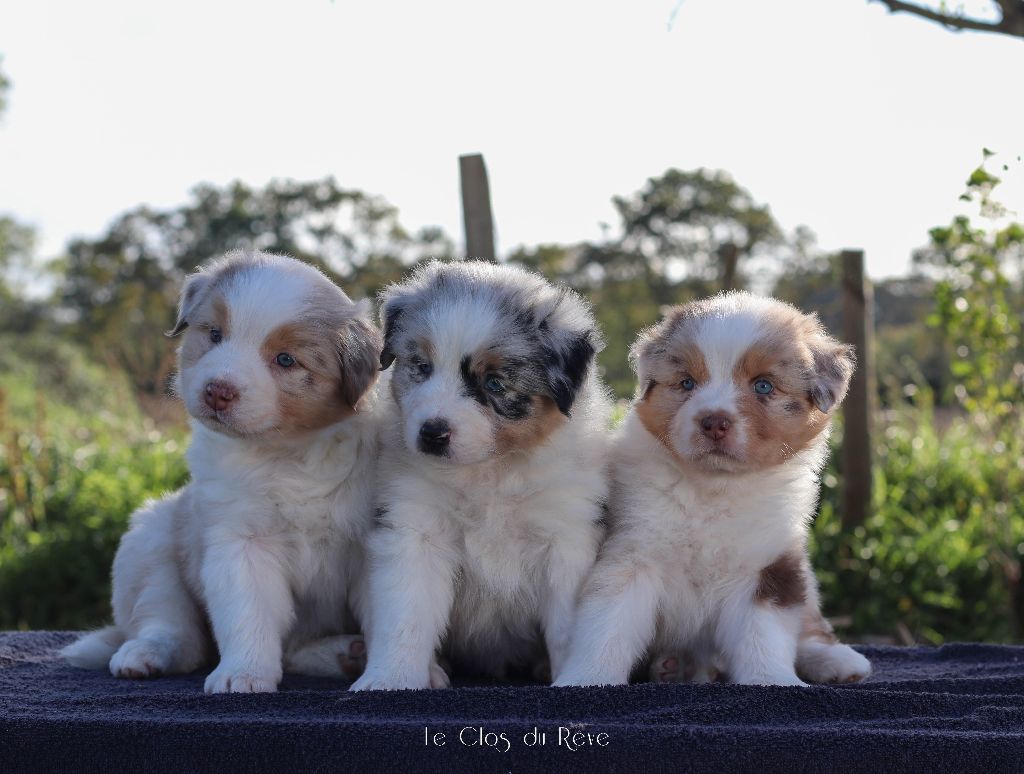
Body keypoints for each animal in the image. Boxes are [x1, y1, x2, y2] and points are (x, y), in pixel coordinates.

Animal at [348, 258, 610, 688]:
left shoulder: (566, 538)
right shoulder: (415, 530)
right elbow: (405, 618)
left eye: (494, 383)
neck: (489, 472)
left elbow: (566, 628)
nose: (432, 433)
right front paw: (389, 680)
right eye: (421, 367)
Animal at [552, 292, 872, 688]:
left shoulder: (768, 566)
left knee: (809, 625)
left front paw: (773, 680)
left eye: (763, 386)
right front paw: (584, 679)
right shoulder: (631, 554)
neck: (716, 487)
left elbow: (762, 636)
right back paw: (674, 666)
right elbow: (607, 626)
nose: (714, 422)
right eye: (687, 383)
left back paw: (837, 660)